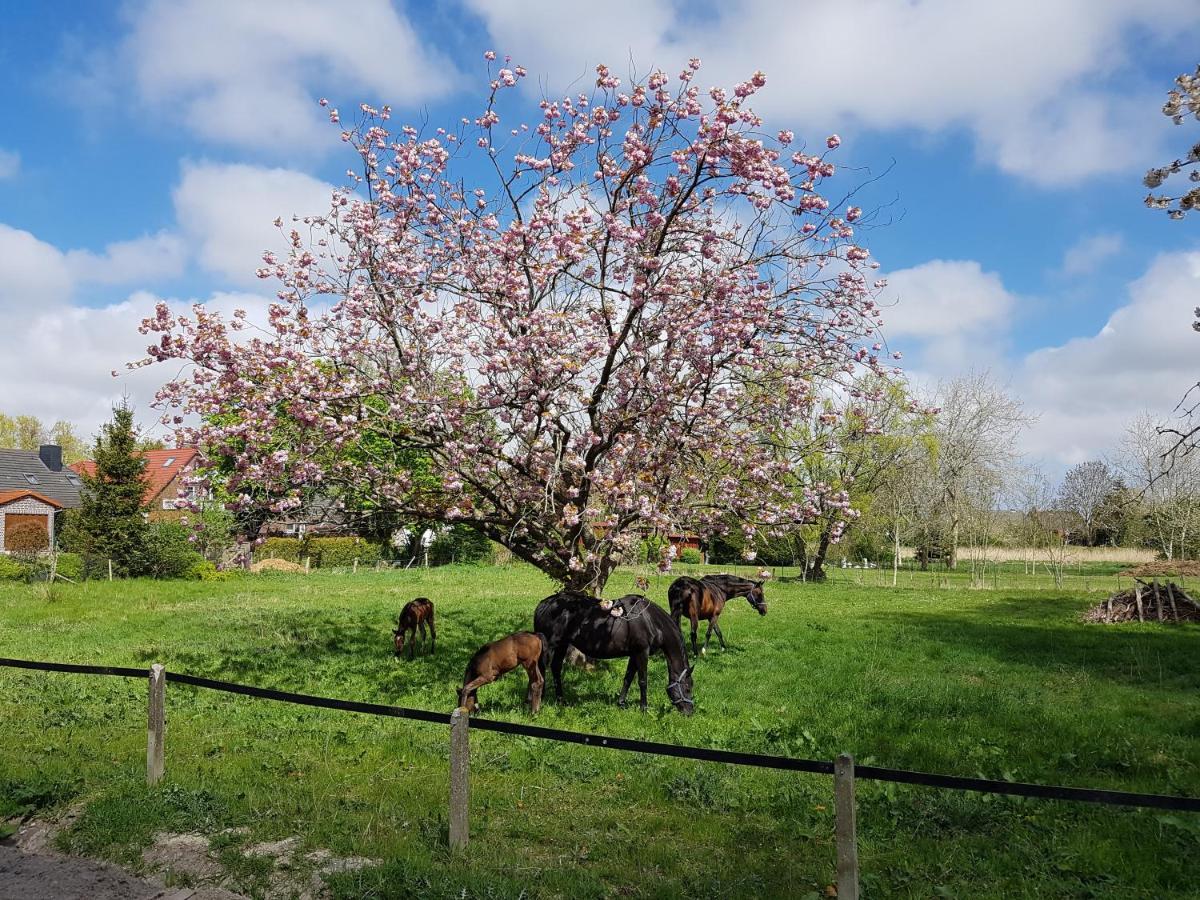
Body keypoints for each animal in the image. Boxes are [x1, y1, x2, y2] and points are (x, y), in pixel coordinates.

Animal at [535, 592, 696, 720]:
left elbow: (628, 678)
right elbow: (643, 681)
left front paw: (621, 703)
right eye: (688, 688)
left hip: (562, 645)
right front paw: (644, 708)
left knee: (556, 668)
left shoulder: (634, 654)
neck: (650, 620)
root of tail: (544, 604)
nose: (689, 712)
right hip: (551, 645)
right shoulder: (641, 652)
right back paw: (540, 700)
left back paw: (561, 701)